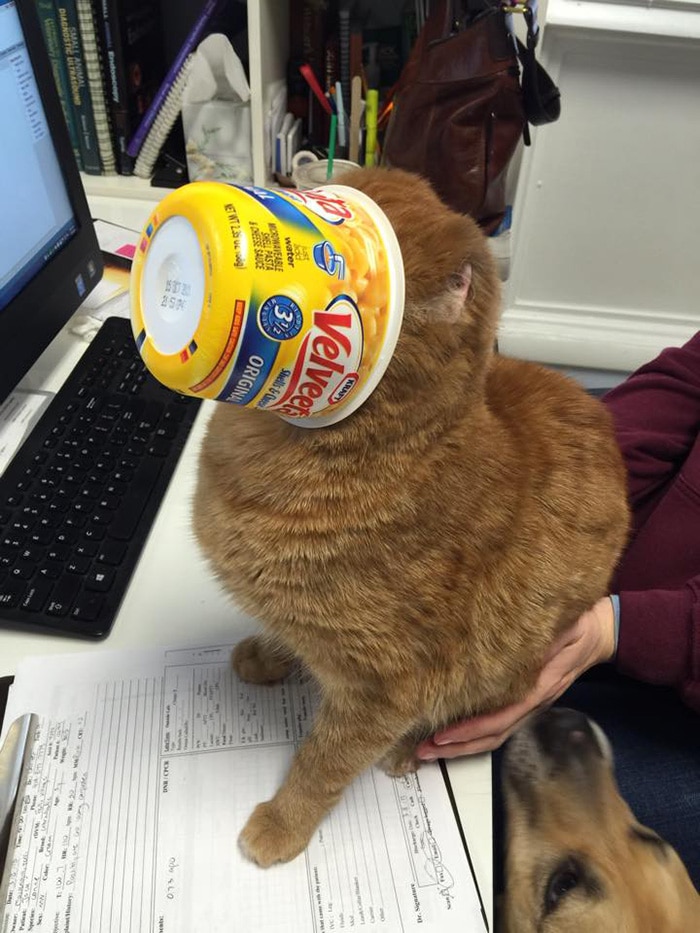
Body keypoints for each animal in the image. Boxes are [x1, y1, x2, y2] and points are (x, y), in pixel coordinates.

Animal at [191, 166, 628, 868]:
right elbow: (281, 631)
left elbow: (323, 762)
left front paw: (282, 825)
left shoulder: (383, 686)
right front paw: (266, 653)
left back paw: (403, 755)